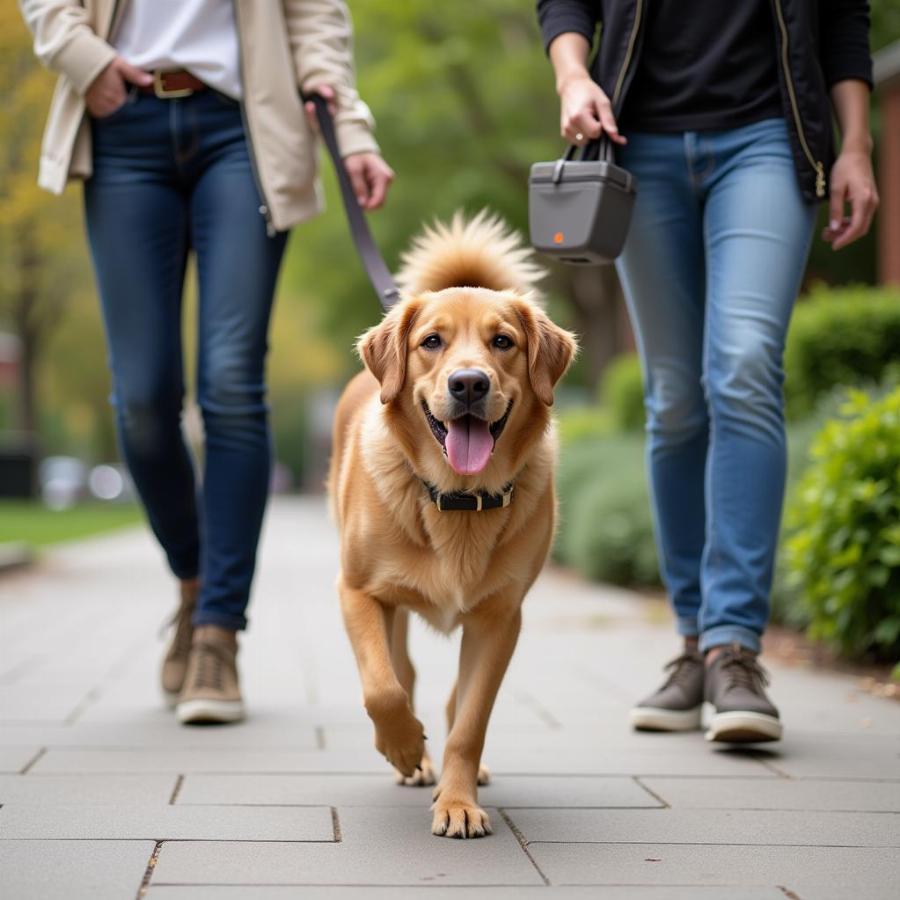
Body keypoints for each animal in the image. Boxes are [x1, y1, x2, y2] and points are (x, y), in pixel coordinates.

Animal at [330, 213, 576, 836]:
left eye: (503, 342)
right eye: (431, 342)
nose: (469, 383)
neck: (459, 499)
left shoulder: (500, 618)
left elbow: (470, 720)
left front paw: (458, 801)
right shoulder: (357, 592)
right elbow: (382, 688)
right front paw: (401, 748)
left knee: (453, 700)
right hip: (387, 607)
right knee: (402, 670)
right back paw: (414, 758)